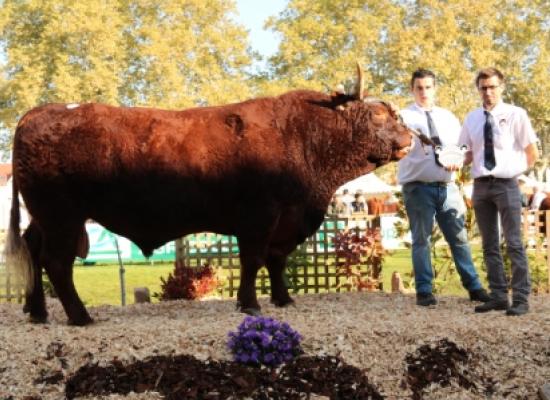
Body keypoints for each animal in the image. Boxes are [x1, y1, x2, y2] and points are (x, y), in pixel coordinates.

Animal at [5, 71, 414, 324]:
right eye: (378, 115)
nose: (410, 137)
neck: (300, 137)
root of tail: (43, 111)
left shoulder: (287, 220)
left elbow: (277, 260)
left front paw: (283, 299)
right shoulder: (259, 216)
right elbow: (254, 260)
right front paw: (250, 304)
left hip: (44, 216)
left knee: (33, 251)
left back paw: (37, 311)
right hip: (61, 215)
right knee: (56, 262)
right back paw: (80, 317)